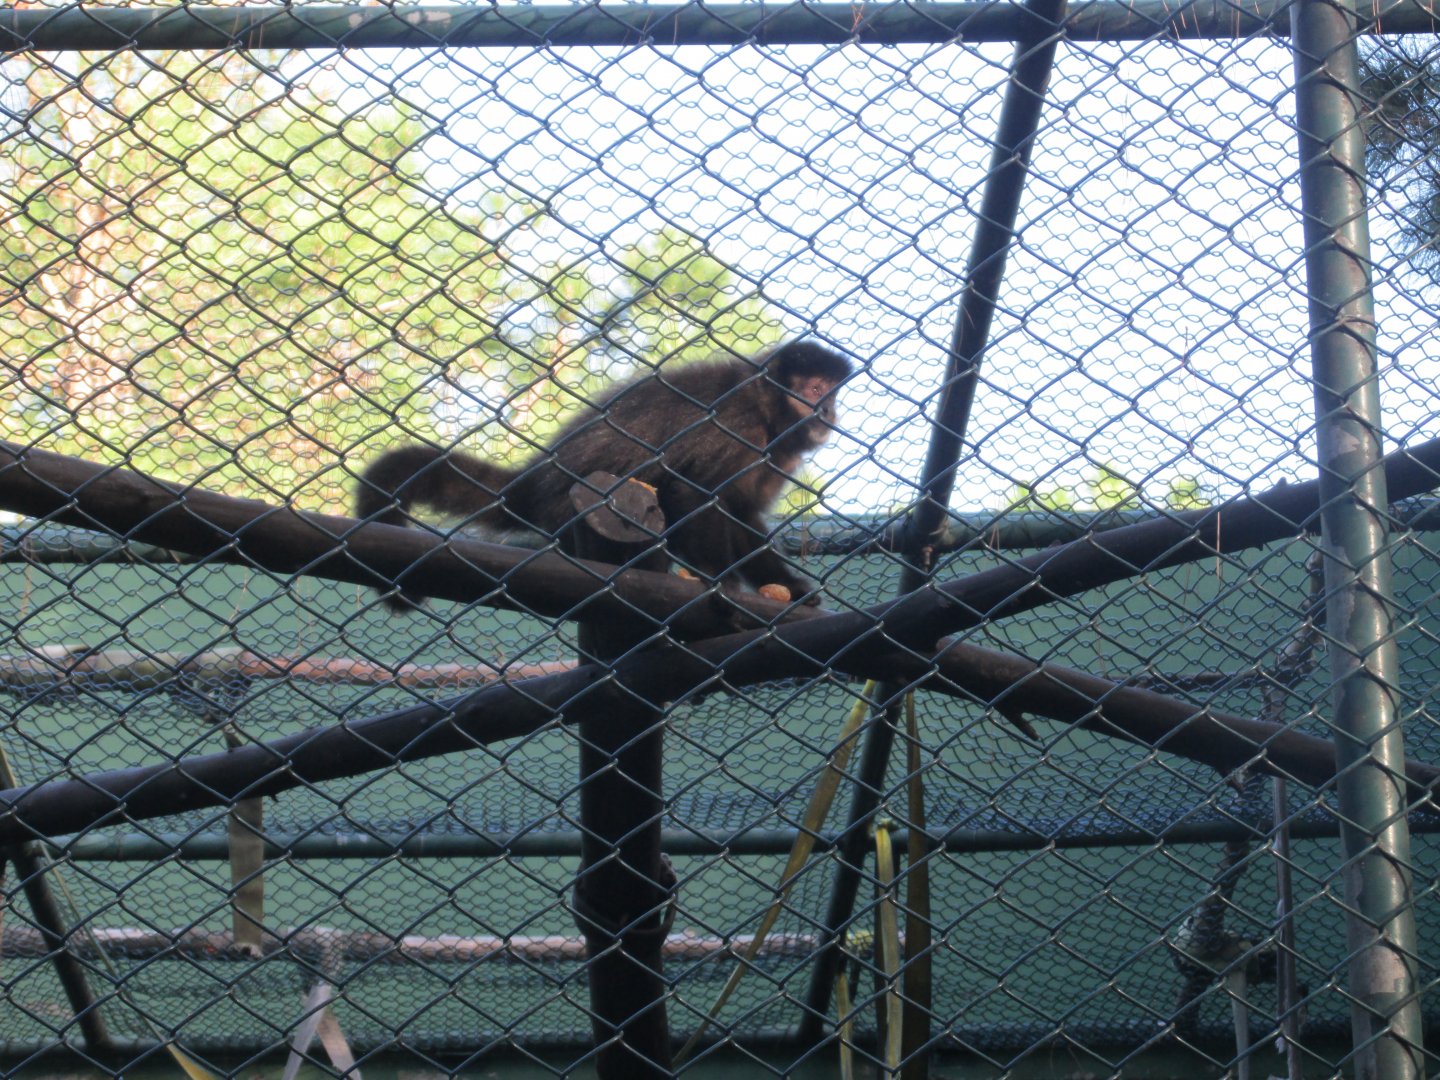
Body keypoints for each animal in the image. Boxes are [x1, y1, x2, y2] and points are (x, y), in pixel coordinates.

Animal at [355, 340, 855, 612]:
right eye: (814, 391)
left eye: (832, 395)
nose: (827, 412)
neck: (768, 415)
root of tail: (536, 481)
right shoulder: (737, 429)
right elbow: (694, 492)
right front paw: (721, 583)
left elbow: (742, 515)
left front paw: (793, 590)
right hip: (569, 507)